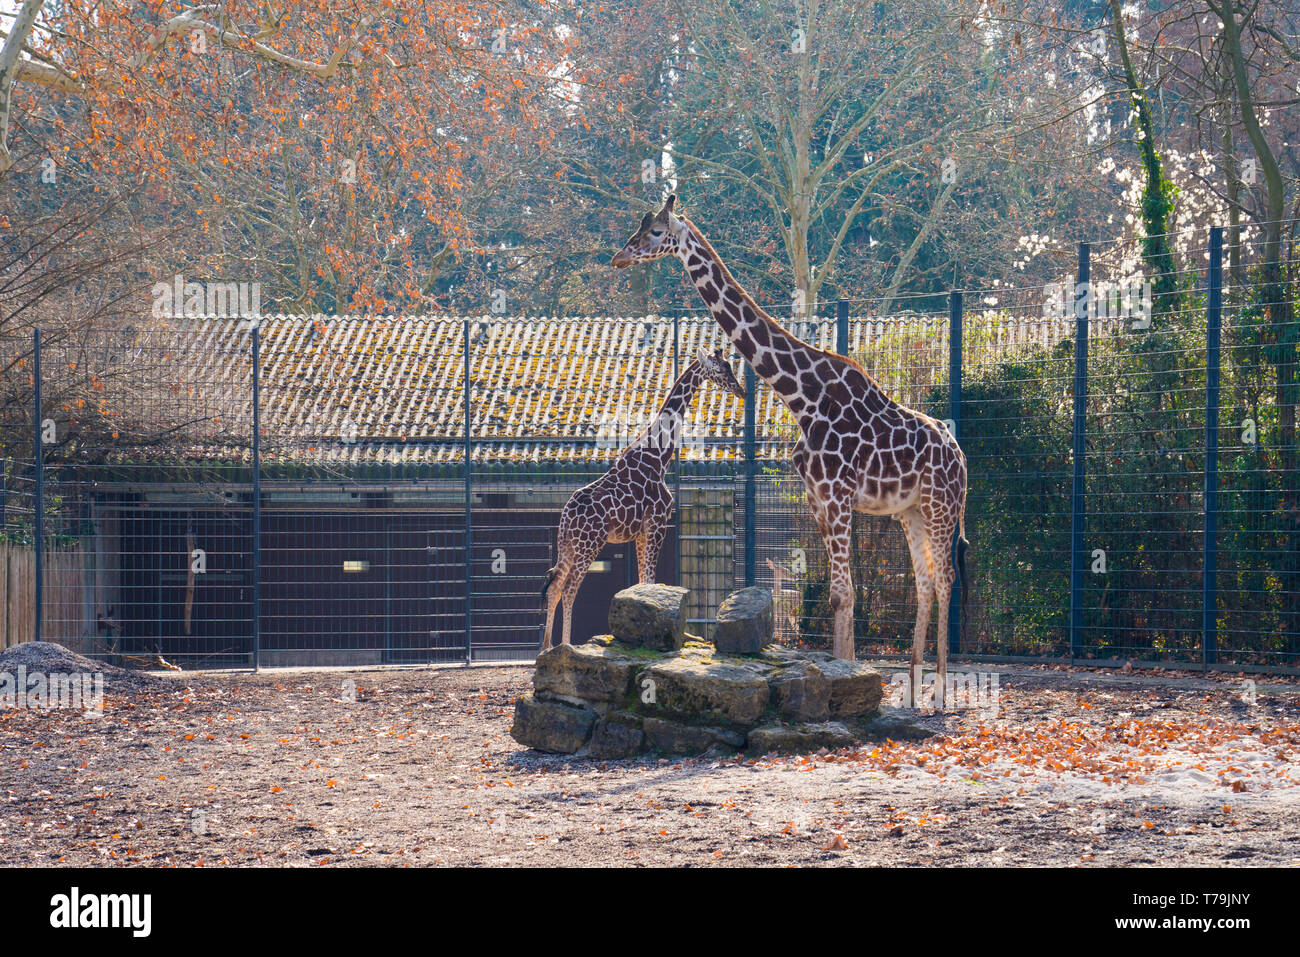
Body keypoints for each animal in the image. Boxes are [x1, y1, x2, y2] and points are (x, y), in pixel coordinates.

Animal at [538, 348, 743, 655]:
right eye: (719, 370)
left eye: (730, 365)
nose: (740, 390)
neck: (659, 456)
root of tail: (566, 516)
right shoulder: (657, 524)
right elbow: (650, 579)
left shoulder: (641, 532)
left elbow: (642, 582)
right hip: (590, 543)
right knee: (571, 587)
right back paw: (566, 647)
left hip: (567, 545)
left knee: (554, 585)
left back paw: (545, 648)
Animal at [613, 196, 972, 702]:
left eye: (656, 231)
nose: (619, 257)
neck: (801, 396)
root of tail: (961, 456)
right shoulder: (818, 500)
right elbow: (838, 596)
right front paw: (847, 678)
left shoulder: (839, 496)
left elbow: (843, 595)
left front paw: (847, 683)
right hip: (912, 511)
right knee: (923, 583)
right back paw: (914, 690)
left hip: (942, 506)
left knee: (944, 580)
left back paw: (938, 694)